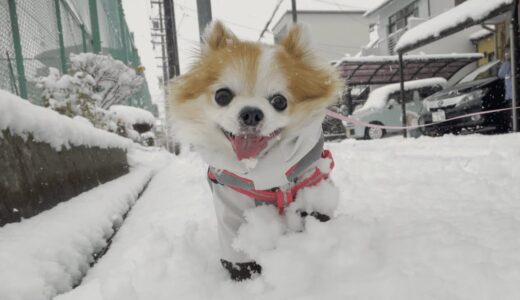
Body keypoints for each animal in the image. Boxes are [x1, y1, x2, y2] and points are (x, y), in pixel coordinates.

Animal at [169, 21, 344, 282]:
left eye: (280, 101)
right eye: (222, 96)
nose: (251, 113)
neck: (263, 169)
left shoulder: (313, 184)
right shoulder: (229, 203)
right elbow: (236, 249)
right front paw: (244, 277)